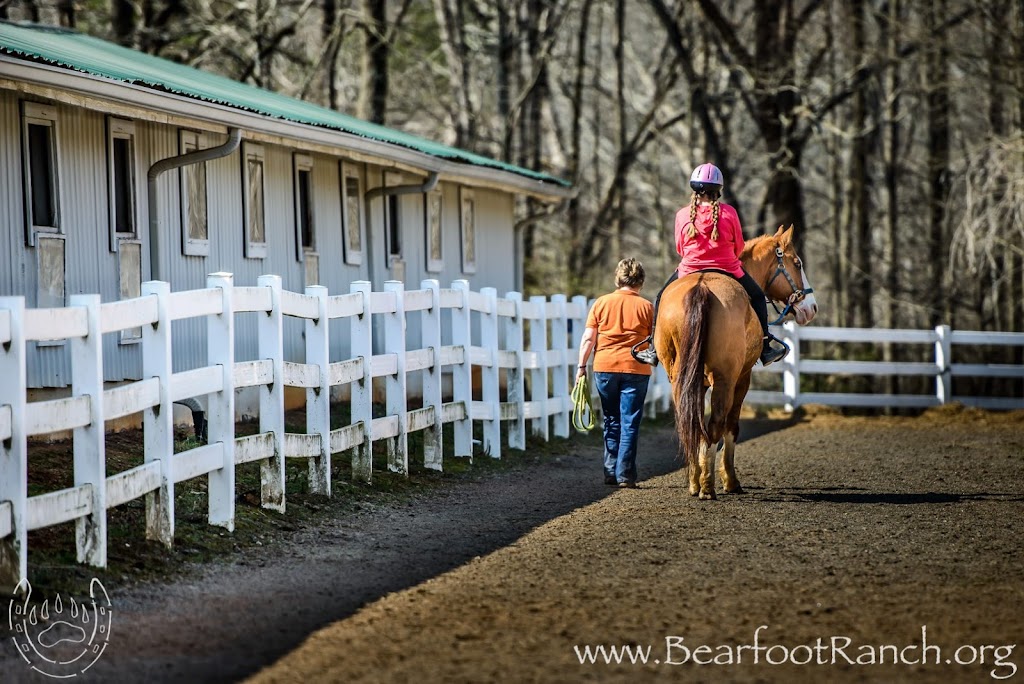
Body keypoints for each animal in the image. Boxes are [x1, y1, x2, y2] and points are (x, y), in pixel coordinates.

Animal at [655, 227, 815, 499]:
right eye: (797, 263)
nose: (811, 307)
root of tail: (702, 287)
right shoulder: (742, 378)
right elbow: (732, 427)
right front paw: (730, 480)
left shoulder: (697, 383)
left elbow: (698, 427)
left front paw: (697, 476)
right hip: (726, 380)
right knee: (717, 425)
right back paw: (708, 487)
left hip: (679, 378)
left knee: (692, 425)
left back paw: (696, 483)